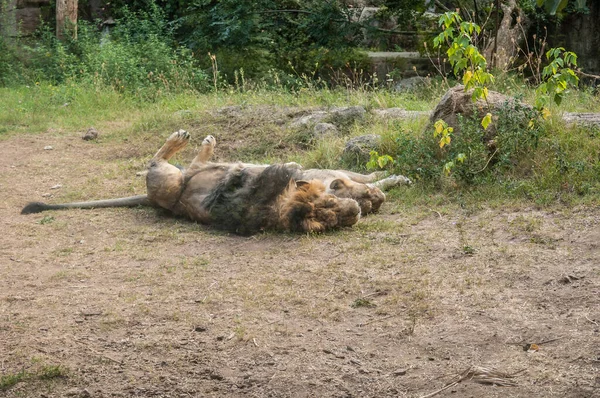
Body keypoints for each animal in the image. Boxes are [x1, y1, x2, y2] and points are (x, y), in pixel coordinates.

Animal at [21, 132, 410, 235]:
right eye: (329, 210)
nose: (357, 212)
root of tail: (152, 200)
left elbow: (368, 177)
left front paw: (391, 182)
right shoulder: (322, 171)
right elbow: (362, 176)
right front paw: (386, 182)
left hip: (187, 175)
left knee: (196, 163)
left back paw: (205, 144)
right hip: (170, 180)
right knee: (157, 161)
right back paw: (184, 138)